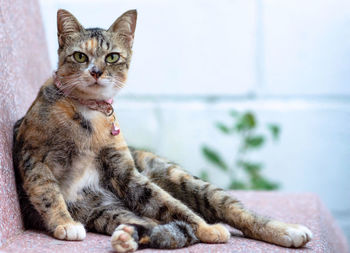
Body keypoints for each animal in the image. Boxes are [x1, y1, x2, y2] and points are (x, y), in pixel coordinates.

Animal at [11, 8, 312, 252]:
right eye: (80, 56)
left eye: (112, 57)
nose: (96, 72)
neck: (89, 113)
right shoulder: (33, 157)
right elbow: (48, 193)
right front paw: (65, 223)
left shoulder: (126, 173)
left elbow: (170, 204)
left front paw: (207, 230)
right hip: (106, 210)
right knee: (157, 227)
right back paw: (128, 238)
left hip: (179, 178)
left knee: (231, 211)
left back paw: (289, 231)